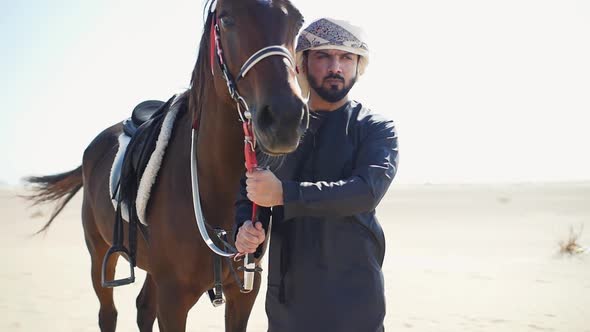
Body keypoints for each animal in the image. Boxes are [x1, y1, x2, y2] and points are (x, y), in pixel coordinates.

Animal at [25, 1, 308, 330]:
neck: (213, 185)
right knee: (108, 313)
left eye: (297, 22)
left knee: (143, 307)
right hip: (99, 254)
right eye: (227, 20)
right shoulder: (173, 299)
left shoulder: (243, 293)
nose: (286, 118)